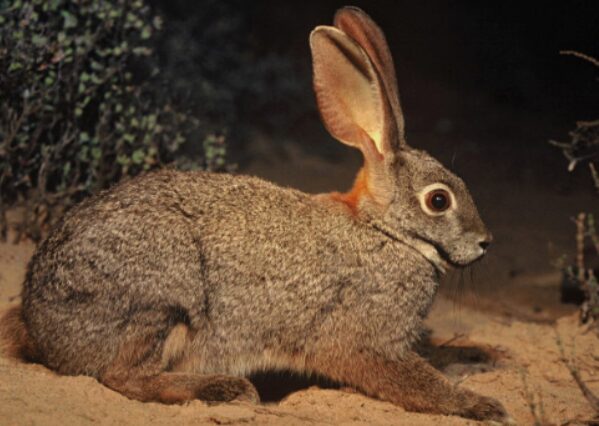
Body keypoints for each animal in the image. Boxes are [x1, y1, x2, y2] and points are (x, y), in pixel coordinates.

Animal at [2, 6, 512, 422]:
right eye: (439, 200)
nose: (485, 242)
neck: (385, 231)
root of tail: (40, 326)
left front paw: (479, 359)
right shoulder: (368, 339)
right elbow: (418, 384)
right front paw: (482, 405)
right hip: (162, 298)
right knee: (122, 376)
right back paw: (225, 388)